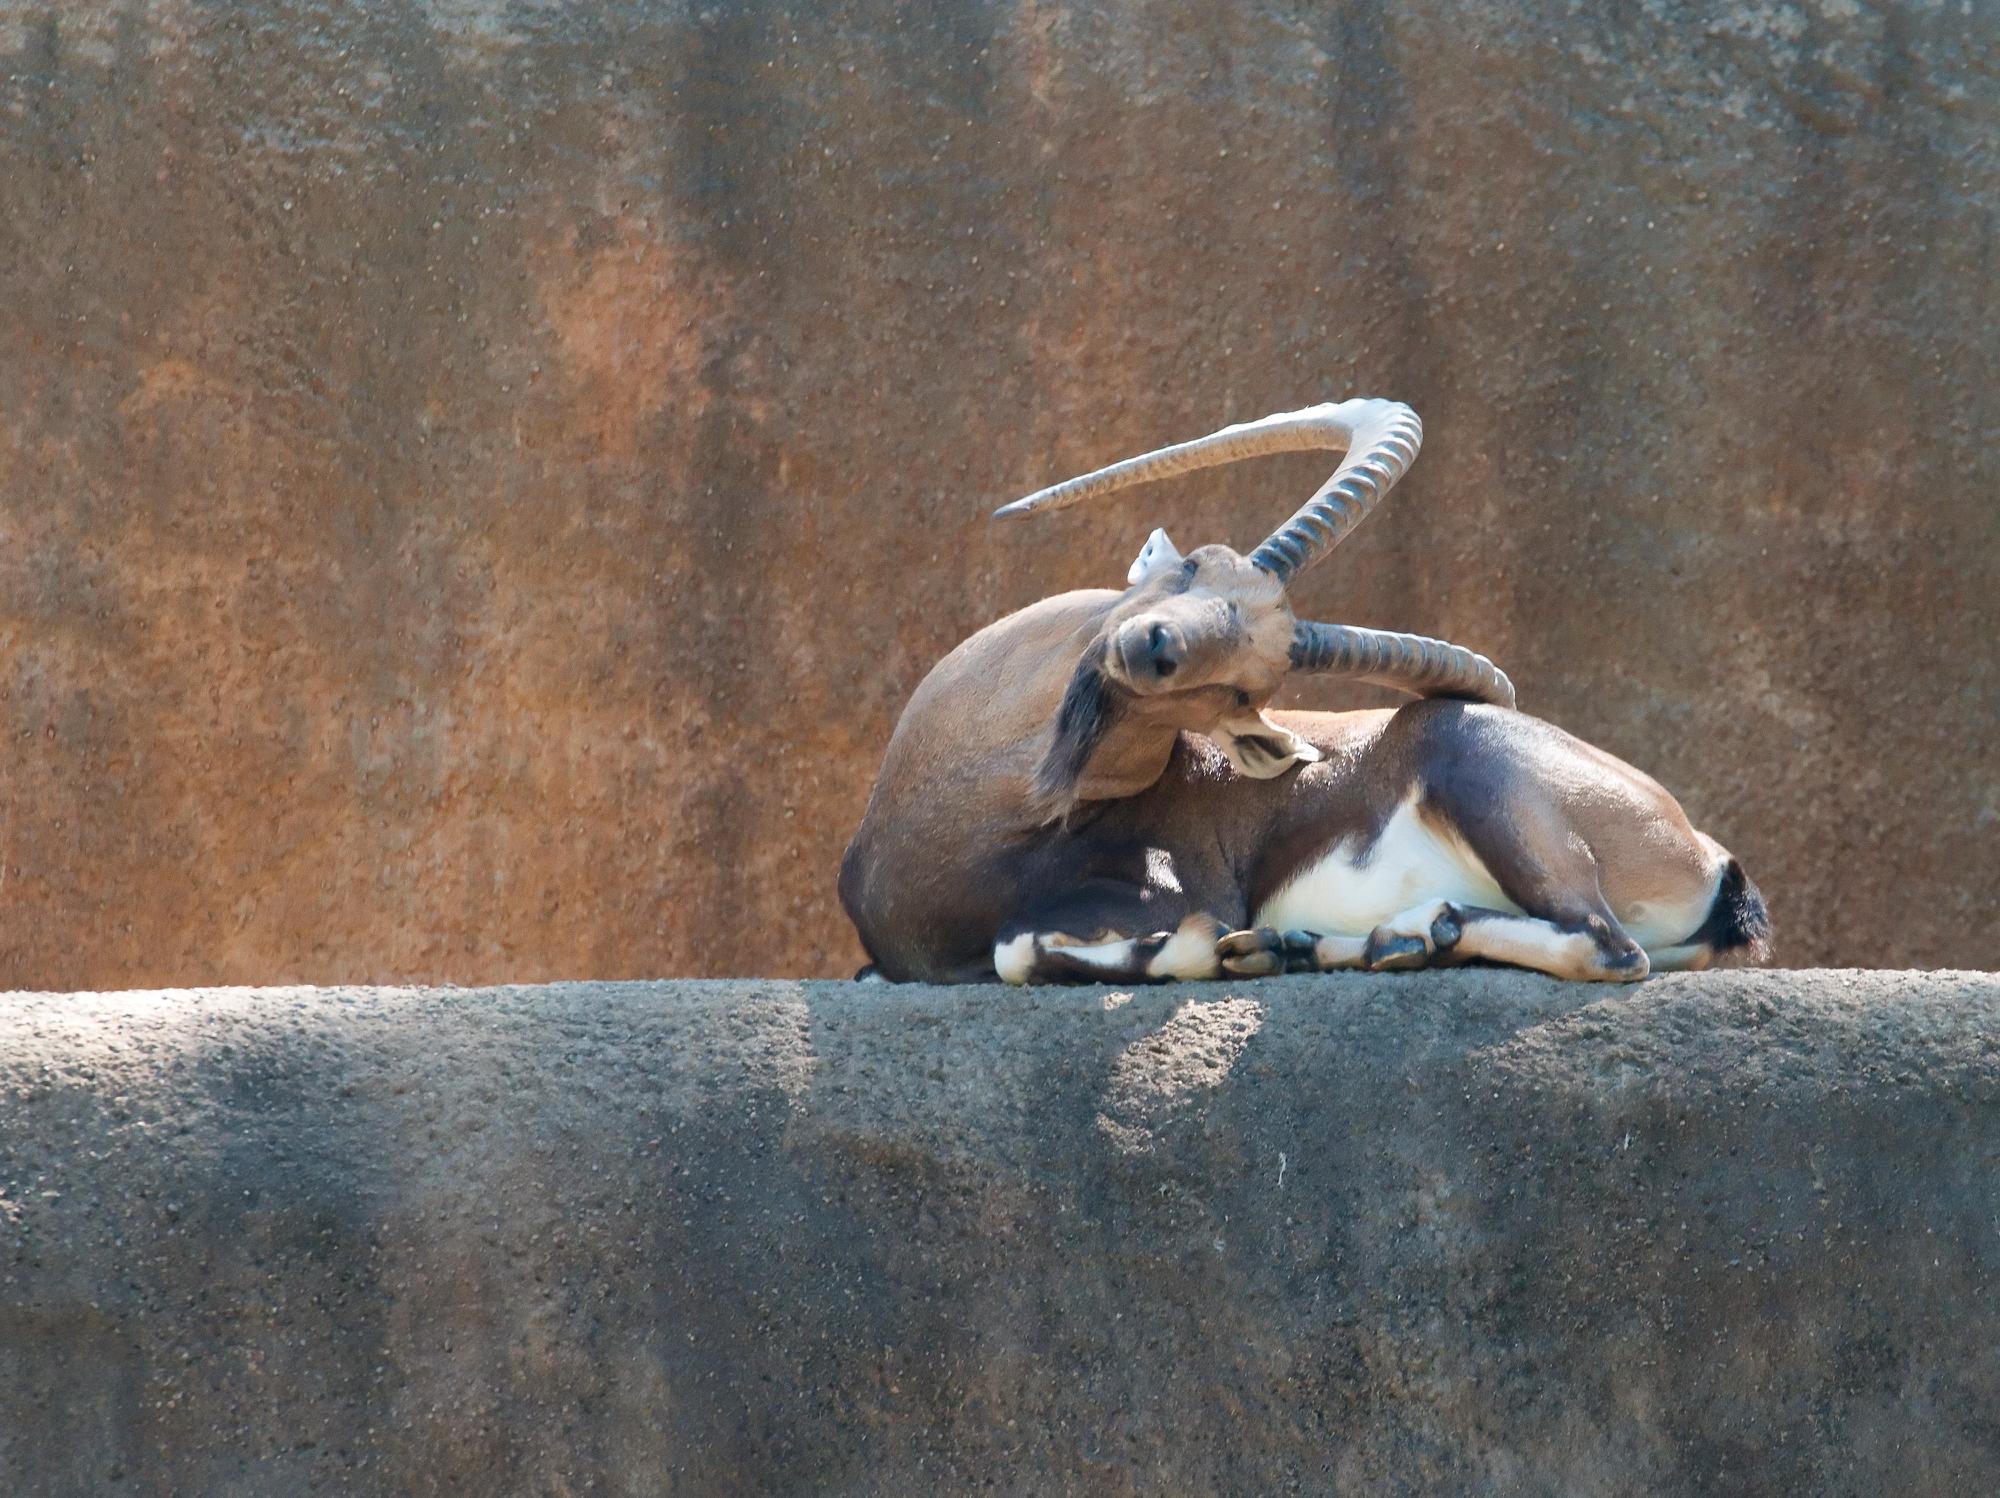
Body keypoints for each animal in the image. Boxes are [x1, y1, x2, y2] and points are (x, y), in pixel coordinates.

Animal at [836, 400, 1776, 980]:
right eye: (1194, 565)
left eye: (1244, 689)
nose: (1153, 649)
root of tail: (1709, 859)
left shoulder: (1165, 891)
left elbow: (1022, 950)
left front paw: (1218, 946)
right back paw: (1359, 940)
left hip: (1473, 762)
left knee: (1609, 948)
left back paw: (1358, 938)